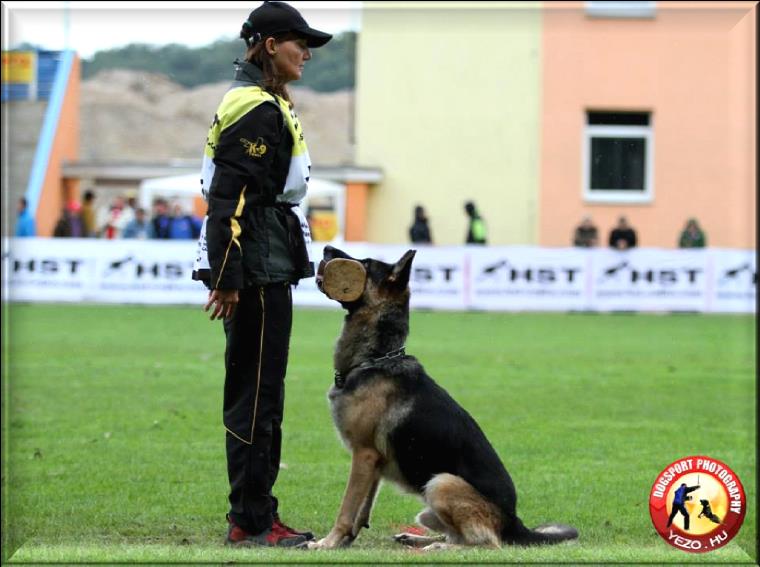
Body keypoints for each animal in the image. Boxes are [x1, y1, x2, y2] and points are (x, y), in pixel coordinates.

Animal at [308, 247, 576, 552]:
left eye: (365, 263)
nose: (326, 249)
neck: (376, 359)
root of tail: (514, 522)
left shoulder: (363, 455)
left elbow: (347, 507)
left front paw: (328, 542)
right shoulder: (373, 462)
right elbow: (362, 509)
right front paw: (346, 540)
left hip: (441, 483)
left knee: (486, 543)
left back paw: (439, 547)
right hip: (428, 509)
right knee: (457, 534)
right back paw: (417, 538)